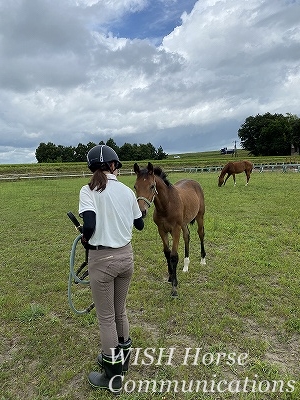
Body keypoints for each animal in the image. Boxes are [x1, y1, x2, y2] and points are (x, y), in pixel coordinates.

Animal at [134, 162, 206, 296]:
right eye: (135, 187)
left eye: (152, 186)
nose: (142, 212)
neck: (166, 205)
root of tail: (194, 181)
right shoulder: (162, 230)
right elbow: (167, 253)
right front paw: (170, 277)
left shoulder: (175, 229)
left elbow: (173, 255)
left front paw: (174, 286)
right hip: (184, 223)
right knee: (187, 236)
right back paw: (186, 266)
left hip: (200, 216)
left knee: (201, 234)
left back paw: (203, 260)